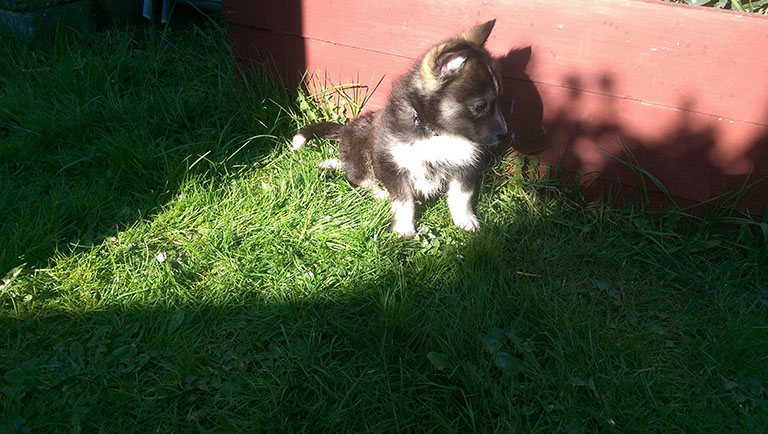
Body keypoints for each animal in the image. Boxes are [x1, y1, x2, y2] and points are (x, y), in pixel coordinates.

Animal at [292, 19, 508, 237]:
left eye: (499, 102)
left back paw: (331, 163)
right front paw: (404, 228)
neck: (435, 133)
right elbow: (404, 200)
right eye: (479, 106)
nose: (505, 135)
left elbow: (461, 196)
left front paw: (465, 221)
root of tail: (346, 129)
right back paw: (378, 192)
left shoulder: (465, 165)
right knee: (360, 177)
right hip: (361, 151)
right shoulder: (391, 163)